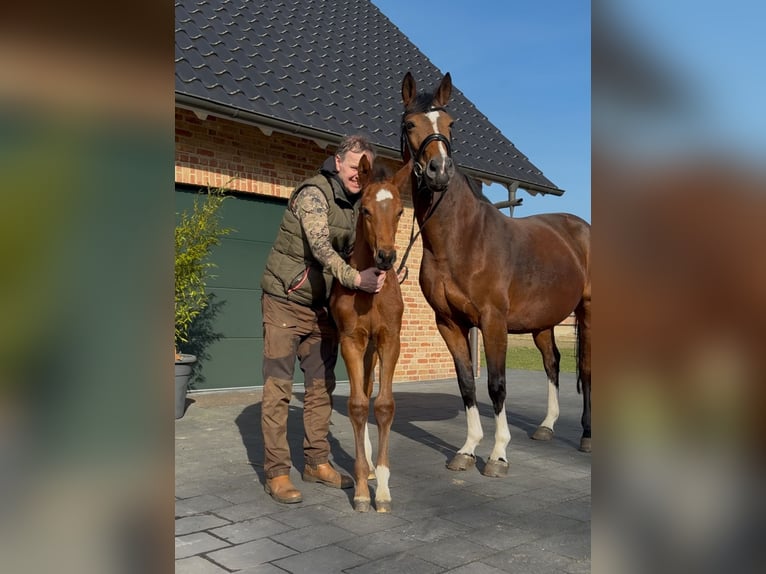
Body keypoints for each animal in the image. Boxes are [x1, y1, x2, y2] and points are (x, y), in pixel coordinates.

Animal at [402, 73, 592, 476]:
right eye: (410, 124)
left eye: (451, 124)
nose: (439, 171)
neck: (462, 239)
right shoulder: (449, 322)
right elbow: (466, 385)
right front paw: (467, 449)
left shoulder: (492, 321)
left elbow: (497, 385)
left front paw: (498, 455)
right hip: (543, 321)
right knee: (553, 362)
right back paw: (546, 427)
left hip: (587, 311)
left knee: (585, 370)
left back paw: (586, 435)